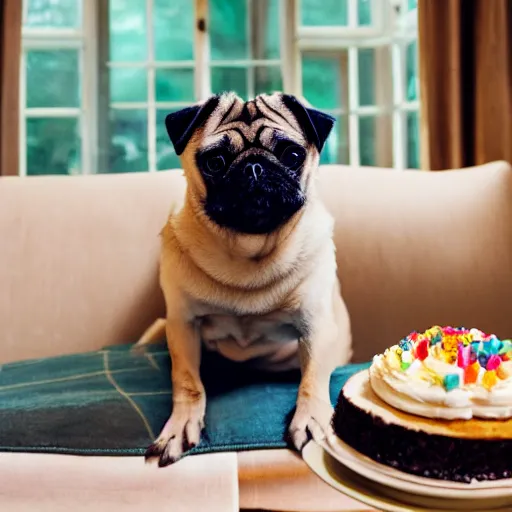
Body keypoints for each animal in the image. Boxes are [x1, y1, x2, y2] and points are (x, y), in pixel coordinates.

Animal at [140, 92, 352, 468]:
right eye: (215, 162)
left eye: (292, 155)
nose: (254, 166)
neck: (247, 251)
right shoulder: (182, 324)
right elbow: (187, 382)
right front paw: (179, 427)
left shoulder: (315, 325)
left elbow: (313, 378)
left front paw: (311, 419)